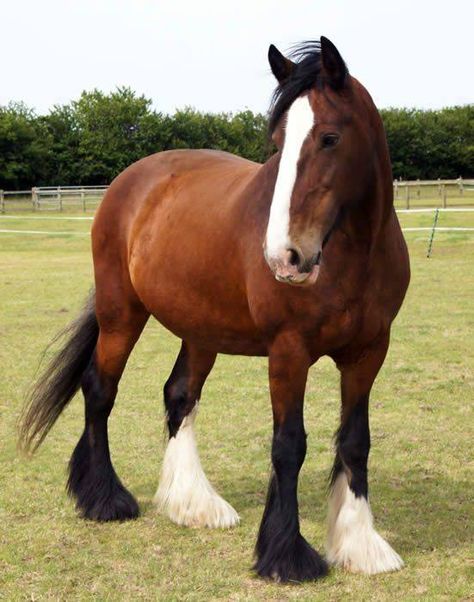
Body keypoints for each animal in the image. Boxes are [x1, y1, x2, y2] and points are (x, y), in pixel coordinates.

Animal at [20, 37, 410, 580]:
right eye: (277, 142)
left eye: (330, 138)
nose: (285, 256)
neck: (351, 254)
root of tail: (131, 180)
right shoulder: (289, 351)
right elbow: (289, 445)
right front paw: (286, 555)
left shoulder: (369, 352)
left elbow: (355, 440)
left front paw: (360, 546)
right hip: (122, 313)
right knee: (99, 389)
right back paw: (105, 499)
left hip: (200, 330)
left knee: (179, 395)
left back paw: (193, 503)